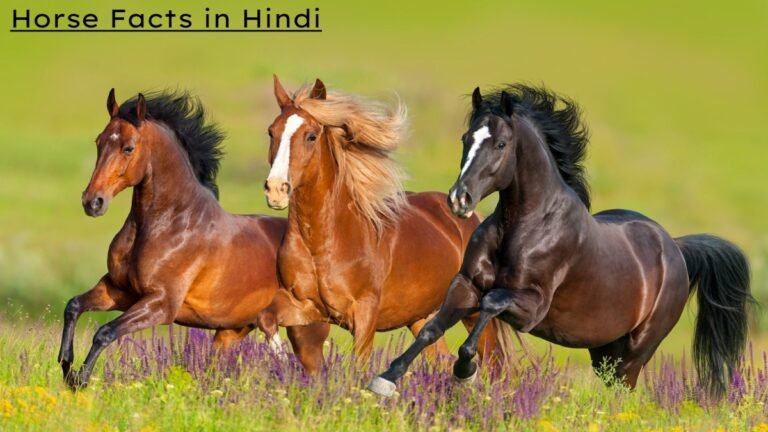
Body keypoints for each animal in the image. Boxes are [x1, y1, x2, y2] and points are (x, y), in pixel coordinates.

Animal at [58, 89, 329, 390]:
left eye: (128, 148)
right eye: (99, 141)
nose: (93, 202)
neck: (170, 224)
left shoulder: (161, 304)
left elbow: (105, 332)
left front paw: (79, 380)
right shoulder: (118, 290)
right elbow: (73, 306)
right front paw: (66, 365)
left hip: (305, 332)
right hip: (232, 332)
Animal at [261, 76, 516, 369]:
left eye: (311, 136)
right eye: (271, 132)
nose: (276, 189)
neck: (323, 242)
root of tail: (475, 218)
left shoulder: (364, 315)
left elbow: (358, 365)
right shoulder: (303, 305)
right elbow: (267, 319)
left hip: (472, 311)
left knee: (494, 364)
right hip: (422, 317)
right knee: (439, 357)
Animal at [370, 84, 753, 398]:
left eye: (500, 144)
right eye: (466, 138)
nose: (459, 200)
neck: (524, 227)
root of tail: (676, 248)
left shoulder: (531, 308)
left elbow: (490, 304)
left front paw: (465, 371)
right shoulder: (465, 285)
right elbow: (430, 329)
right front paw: (385, 379)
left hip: (635, 352)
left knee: (623, 392)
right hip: (604, 352)